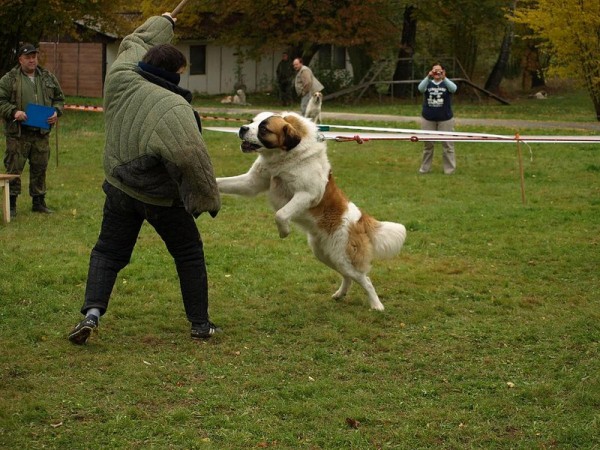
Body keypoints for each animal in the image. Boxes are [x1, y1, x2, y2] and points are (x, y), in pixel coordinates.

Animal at [217, 112, 408, 310]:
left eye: (264, 128)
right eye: (252, 121)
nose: (242, 128)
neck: (284, 156)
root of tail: (361, 218)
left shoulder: (307, 194)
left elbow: (281, 213)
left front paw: (284, 231)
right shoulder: (251, 183)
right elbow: (222, 182)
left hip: (343, 256)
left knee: (365, 280)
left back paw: (376, 305)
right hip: (326, 255)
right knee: (348, 276)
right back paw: (340, 294)